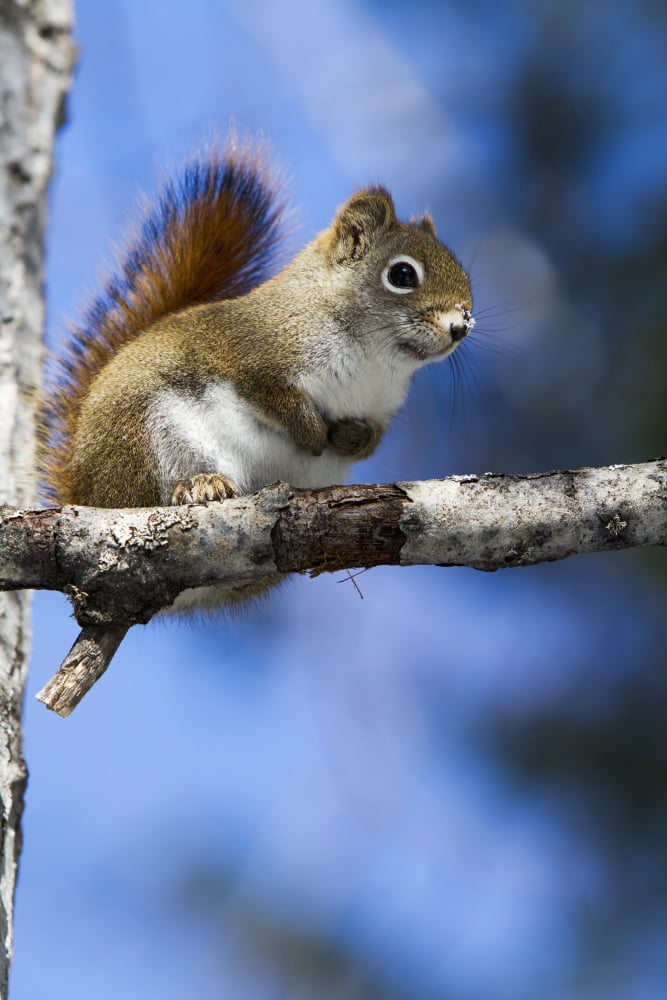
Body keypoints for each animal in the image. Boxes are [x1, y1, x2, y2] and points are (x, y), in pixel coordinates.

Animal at [40, 141, 473, 607]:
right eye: (402, 274)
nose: (462, 325)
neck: (374, 360)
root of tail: (83, 492)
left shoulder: (380, 409)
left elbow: (368, 443)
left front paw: (346, 437)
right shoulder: (246, 354)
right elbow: (272, 397)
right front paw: (311, 432)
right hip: (147, 436)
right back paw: (200, 485)